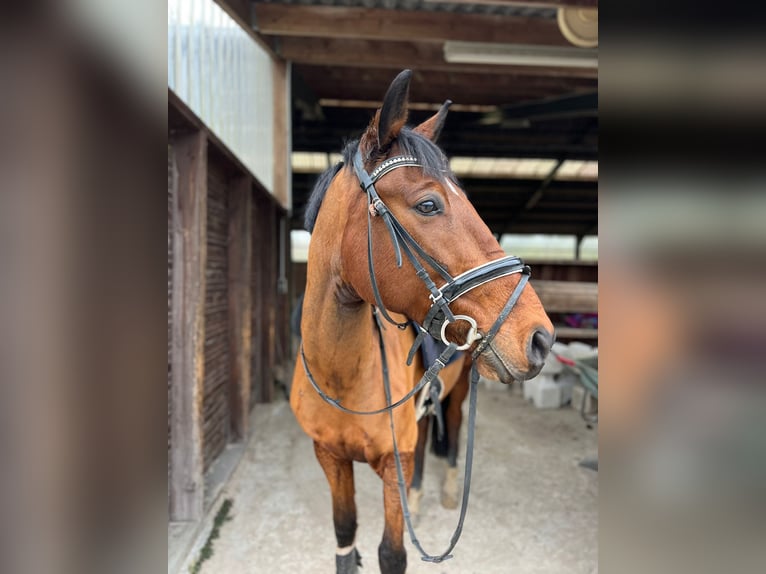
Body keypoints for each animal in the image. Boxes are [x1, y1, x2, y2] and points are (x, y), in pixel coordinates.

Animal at [292, 70, 556, 572]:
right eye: (429, 205)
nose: (540, 338)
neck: (341, 374)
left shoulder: (390, 465)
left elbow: (392, 553)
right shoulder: (329, 458)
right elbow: (345, 537)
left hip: (458, 394)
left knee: (450, 431)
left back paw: (449, 490)